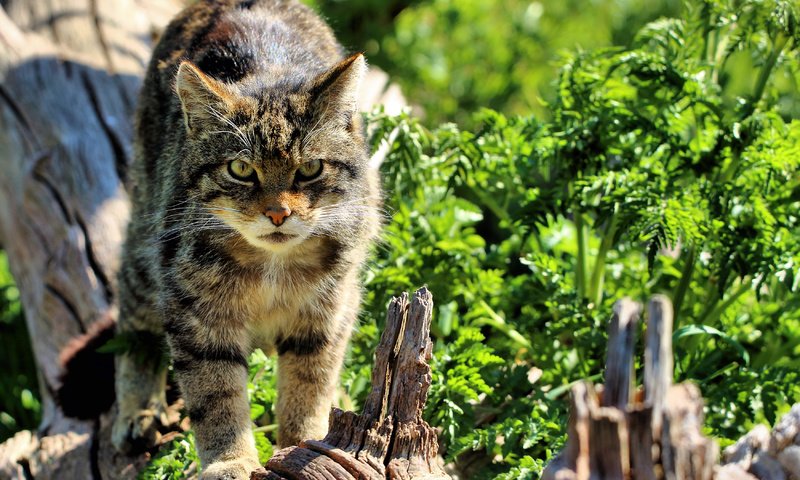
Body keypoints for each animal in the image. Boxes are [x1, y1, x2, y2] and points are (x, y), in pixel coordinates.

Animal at [111, 0, 382, 476]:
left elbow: (309, 386)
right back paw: (137, 407)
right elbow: (216, 397)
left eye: (310, 169)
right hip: (147, 240)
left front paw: (304, 445)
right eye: (240, 169)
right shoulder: (197, 315)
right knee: (132, 314)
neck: (272, 266)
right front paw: (230, 460)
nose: (277, 213)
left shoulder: (328, 312)